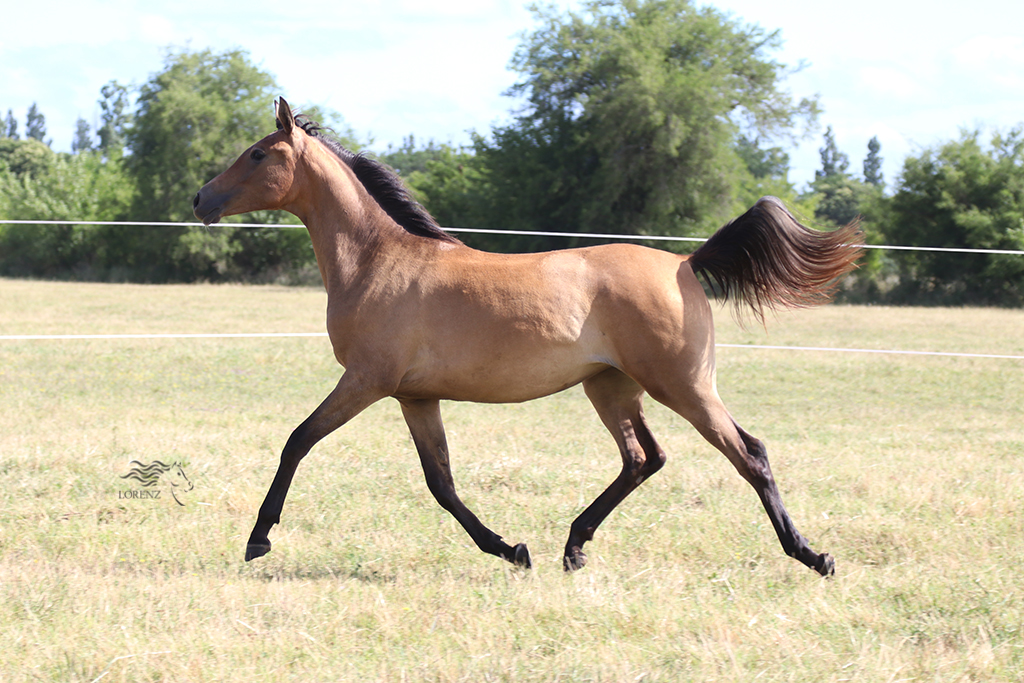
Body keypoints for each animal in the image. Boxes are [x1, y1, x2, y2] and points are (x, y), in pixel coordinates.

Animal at [193, 98, 862, 576]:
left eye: (257, 154)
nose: (201, 199)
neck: (379, 262)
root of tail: (685, 262)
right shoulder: (415, 396)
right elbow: (441, 483)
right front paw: (511, 549)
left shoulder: (365, 381)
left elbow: (297, 442)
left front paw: (257, 539)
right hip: (611, 388)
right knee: (643, 458)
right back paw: (573, 546)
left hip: (684, 386)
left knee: (749, 453)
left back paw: (812, 555)